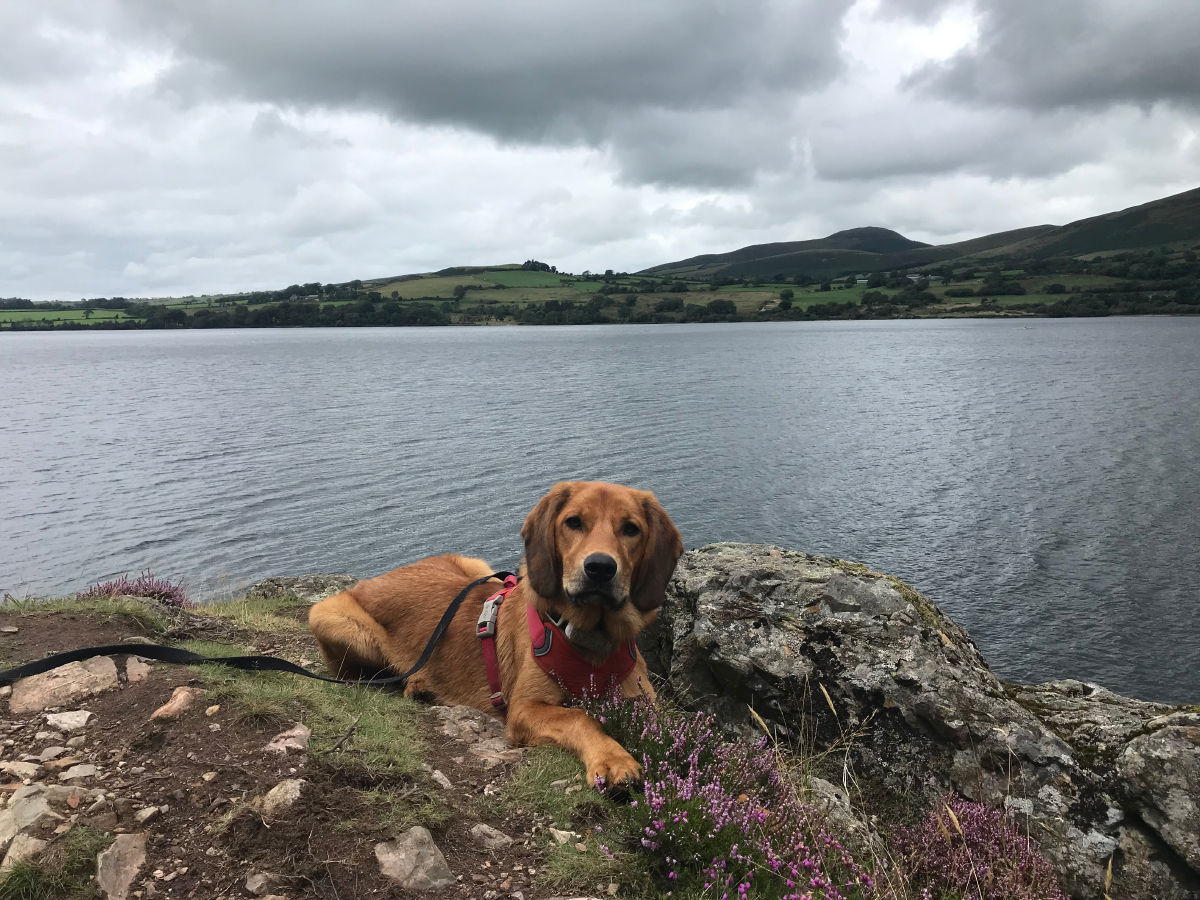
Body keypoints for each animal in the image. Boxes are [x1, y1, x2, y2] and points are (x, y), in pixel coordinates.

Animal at [309, 482, 686, 792]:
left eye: (631, 529)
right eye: (574, 522)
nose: (600, 568)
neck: (592, 641)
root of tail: (373, 580)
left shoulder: (646, 703)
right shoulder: (524, 710)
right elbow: (581, 717)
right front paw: (613, 758)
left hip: (478, 568)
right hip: (333, 620)